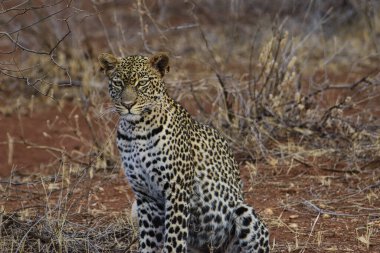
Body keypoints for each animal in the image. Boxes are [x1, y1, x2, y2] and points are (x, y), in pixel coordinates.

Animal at [98, 52, 270, 253]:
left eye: (142, 83)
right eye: (118, 83)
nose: (127, 104)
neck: (135, 130)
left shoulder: (177, 191)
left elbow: (173, 240)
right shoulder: (146, 197)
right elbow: (148, 241)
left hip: (244, 211)